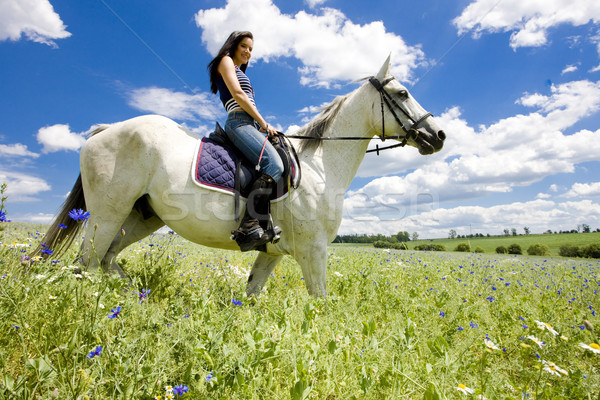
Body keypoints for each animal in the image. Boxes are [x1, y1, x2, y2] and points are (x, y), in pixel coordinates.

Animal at [35, 57, 442, 298]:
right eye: (402, 92)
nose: (437, 135)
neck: (319, 167)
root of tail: (105, 131)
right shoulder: (314, 251)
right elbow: (320, 301)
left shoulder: (273, 253)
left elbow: (251, 294)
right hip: (107, 215)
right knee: (87, 265)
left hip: (139, 217)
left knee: (107, 261)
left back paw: (136, 298)